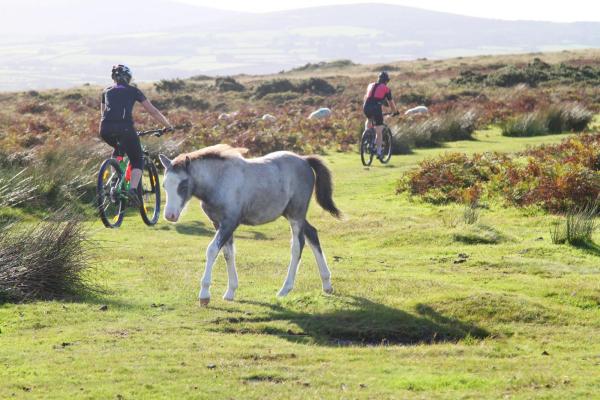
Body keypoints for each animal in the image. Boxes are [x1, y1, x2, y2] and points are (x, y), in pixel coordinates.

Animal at [157, 145, 340, 304]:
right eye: (164, 185)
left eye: (183, 184)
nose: (170, 215)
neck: (219, 181)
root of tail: (304, 160)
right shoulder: (218, 223)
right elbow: (228, 253)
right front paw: (230, 292)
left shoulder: (230, 222)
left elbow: (212, 250)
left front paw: (204, 295)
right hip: (291, 214)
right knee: (312, 234)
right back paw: (327, 284)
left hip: (296, 214)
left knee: (297, 246)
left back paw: (284, 290)